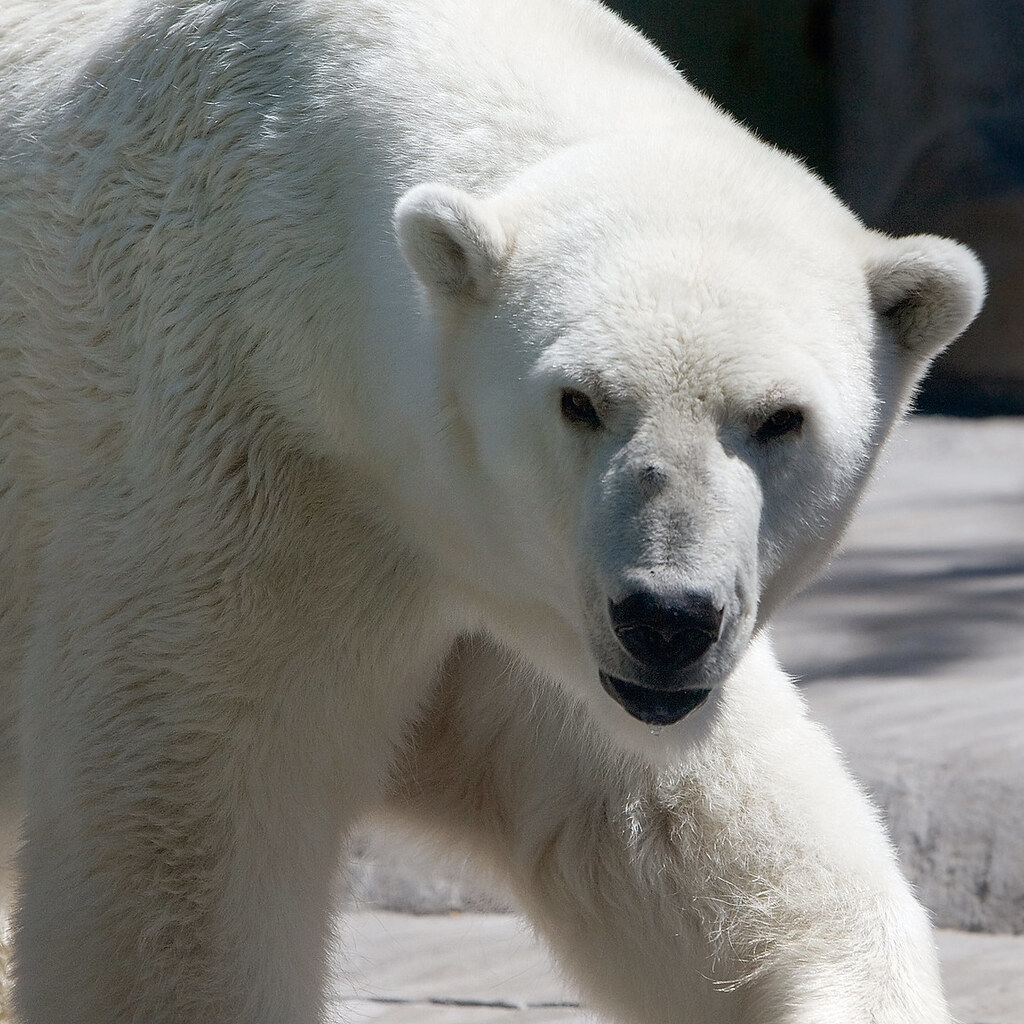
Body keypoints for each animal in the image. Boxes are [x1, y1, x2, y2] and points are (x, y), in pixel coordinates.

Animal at [0, 0, 985, 1021]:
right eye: (580, 401)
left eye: (780, 418)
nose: (667, 619)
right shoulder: (240, 482)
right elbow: (180, 857)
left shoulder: (527, 595)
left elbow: (693, 840)